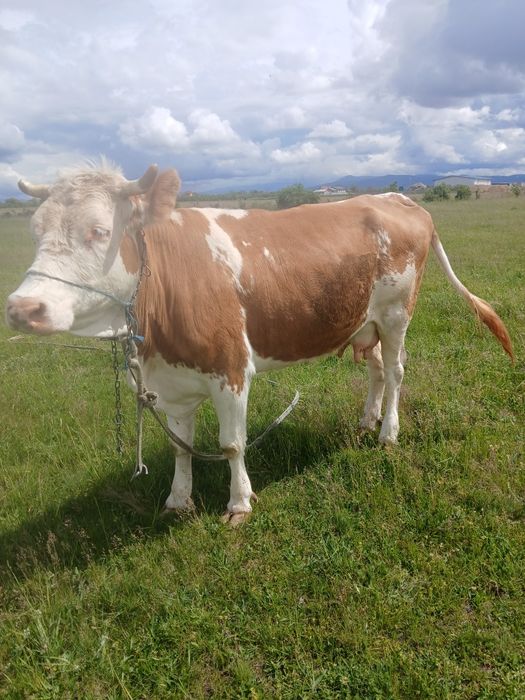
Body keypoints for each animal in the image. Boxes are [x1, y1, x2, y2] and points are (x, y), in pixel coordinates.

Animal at [6, 163, 513, 524]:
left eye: (99, 231)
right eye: (35, 232)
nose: (22, 307)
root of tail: (401, 198)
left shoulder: (230, 368)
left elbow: (231, 444)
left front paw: (239, 504)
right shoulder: (173, 380)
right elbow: (181, 447)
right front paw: (178, 500)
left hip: (395, 314)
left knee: (395, 371)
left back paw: (388, 431)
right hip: (363, 321)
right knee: (373, 370)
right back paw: (366, 421)